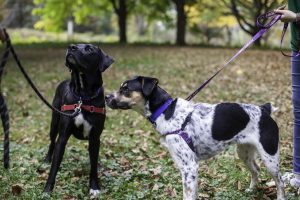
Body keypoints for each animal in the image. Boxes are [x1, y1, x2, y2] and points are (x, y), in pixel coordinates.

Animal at [44, 44, 114, 197]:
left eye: (89, 49)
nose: (71, 47)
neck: (83, 95)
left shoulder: (95, 138)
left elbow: (93, 166)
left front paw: (94, 187)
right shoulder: (63, 136)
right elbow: (54, 166)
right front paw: (47, 189)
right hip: (54, 122)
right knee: (52, 141)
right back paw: (46, 159)